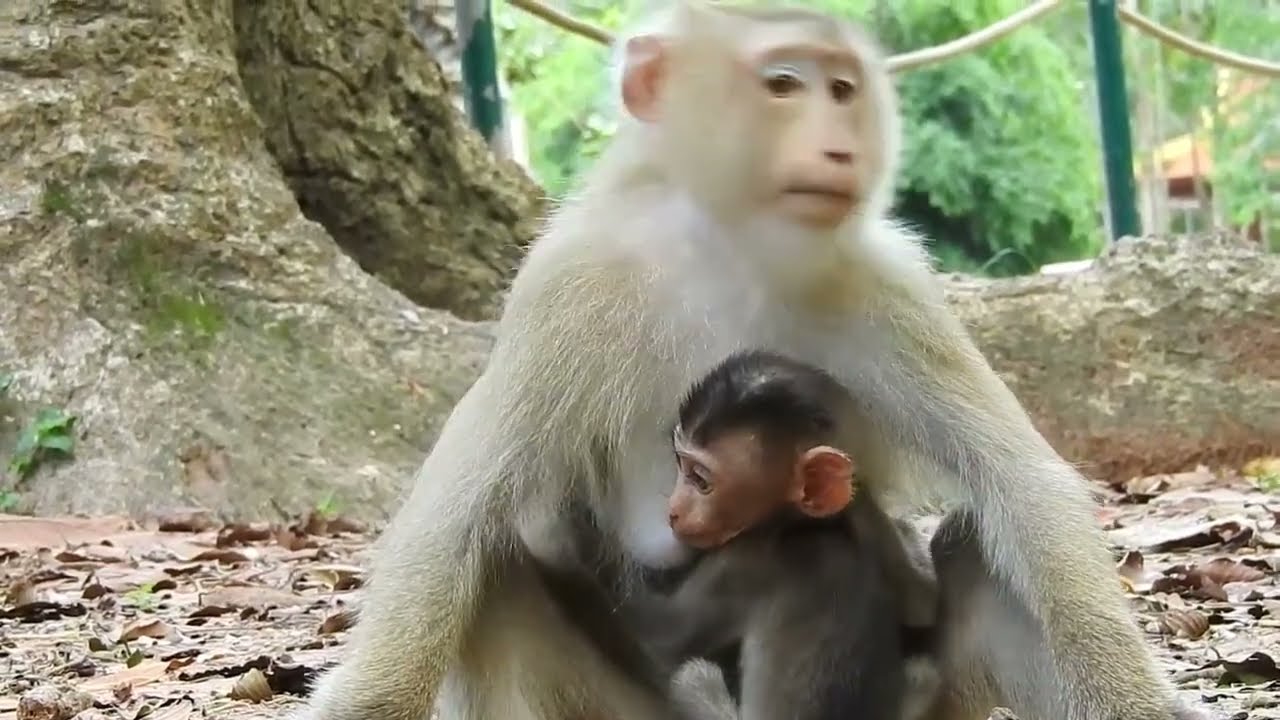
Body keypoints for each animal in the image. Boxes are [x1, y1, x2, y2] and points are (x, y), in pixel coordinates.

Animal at [296, 3, 1215, 720]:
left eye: (842, 89)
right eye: (782, 85)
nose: (839, 143)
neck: (734, 243)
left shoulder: (886, 286)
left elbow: (1021, 485)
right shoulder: (570, 289)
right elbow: (462, 515)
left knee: (979, 542)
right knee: (493, 584)